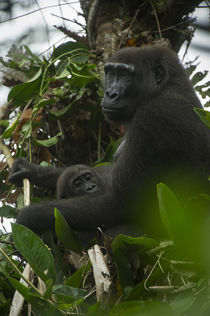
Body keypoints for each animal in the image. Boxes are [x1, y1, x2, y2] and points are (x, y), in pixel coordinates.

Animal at [8, 46, 210, 237]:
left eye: (125, 75)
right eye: (111, 73)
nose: (110, 93)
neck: (167, 86)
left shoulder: (153, 116)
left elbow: (116, 203)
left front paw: (29, 216)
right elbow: (105, 172)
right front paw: (36, 172)